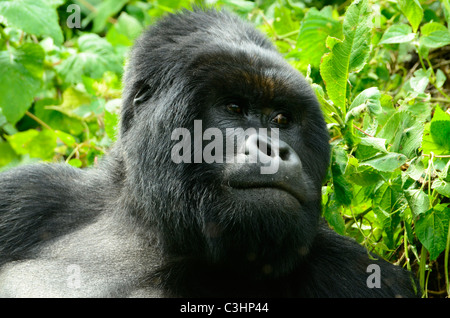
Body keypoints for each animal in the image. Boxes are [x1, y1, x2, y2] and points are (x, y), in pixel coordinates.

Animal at [0, 9, 418, 298]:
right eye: (233, 107)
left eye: (281, 119)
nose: (275, 148)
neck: (148, 228)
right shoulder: (33, 192)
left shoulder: (355, 271)